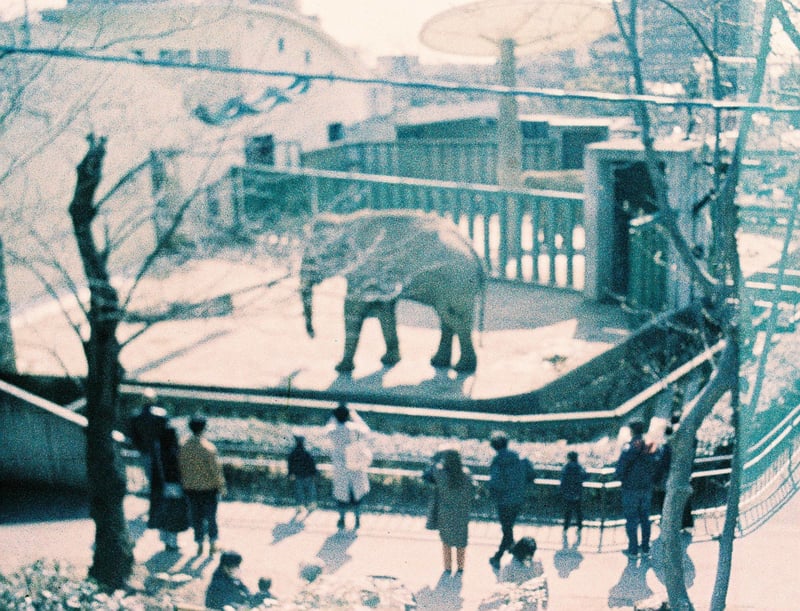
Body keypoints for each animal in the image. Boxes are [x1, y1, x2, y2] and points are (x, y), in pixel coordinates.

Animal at [302, 209, 484, 372]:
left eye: (312, 259)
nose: (312, 334)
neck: (343, 221)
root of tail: (476, 255)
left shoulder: (363, 269)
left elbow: (353, 307)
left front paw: (340, 368)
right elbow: (384, 308)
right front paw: (388, 360)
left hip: (455, 283)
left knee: (453, 317)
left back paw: (463, 368)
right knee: (446, 318)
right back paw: (439, 363)